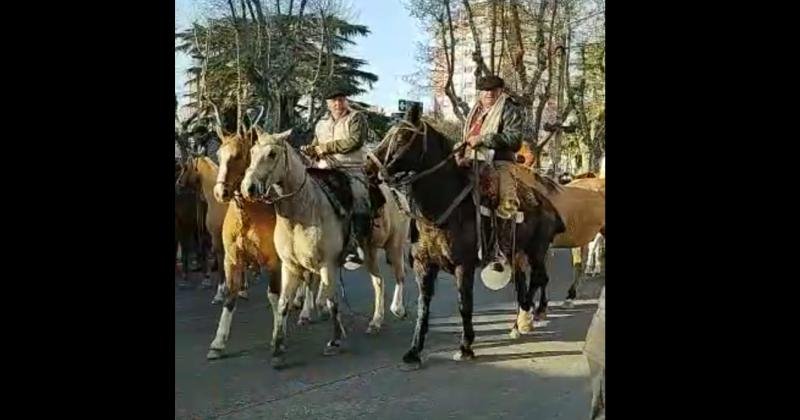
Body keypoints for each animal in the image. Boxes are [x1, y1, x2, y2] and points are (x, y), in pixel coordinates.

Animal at [205, 106, 286, 360]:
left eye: (240, 155)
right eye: (219, 155)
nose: (220, 192)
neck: (247, 215)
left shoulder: (274, 261)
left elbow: (274, 296)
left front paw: (278, 336)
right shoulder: (232, 259)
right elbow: (230, 296)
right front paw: (218, 341)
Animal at [239, 128, 412, 368]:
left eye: (272, 154)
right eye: (253, 152)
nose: (248, 188)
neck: (303, 211)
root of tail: (398, 195)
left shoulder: (326, 265)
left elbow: (332, 300)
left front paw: (335, 340)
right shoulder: (290, 266)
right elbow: (283, 303)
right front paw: (278, 348)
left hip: (393, 246)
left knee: (399, 275)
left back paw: (398, 308)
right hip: (368, 251)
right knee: (378, 281)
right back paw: (376, 321)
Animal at [368, 106, 564, 370]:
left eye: (400, 137)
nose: (368, 165)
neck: (442, 207)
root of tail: (547, 203)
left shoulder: (464, 265)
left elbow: (464, 304)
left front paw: (465, 347)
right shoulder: (423, 265)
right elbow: (423, 305)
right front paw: (414, 350)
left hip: (537, 250)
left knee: (539, 278)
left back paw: (526, 317)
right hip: (518, 252)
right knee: (526, 282)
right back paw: (523, 319)